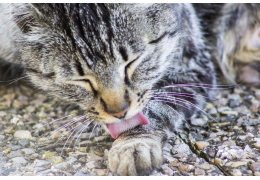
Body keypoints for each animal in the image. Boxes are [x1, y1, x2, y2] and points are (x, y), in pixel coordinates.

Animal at [0, 3, 215, 176]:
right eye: (81, 79)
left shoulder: (191, 65)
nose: (119, 112)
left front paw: (134, 143)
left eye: (132, 62)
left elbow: (157, 108)